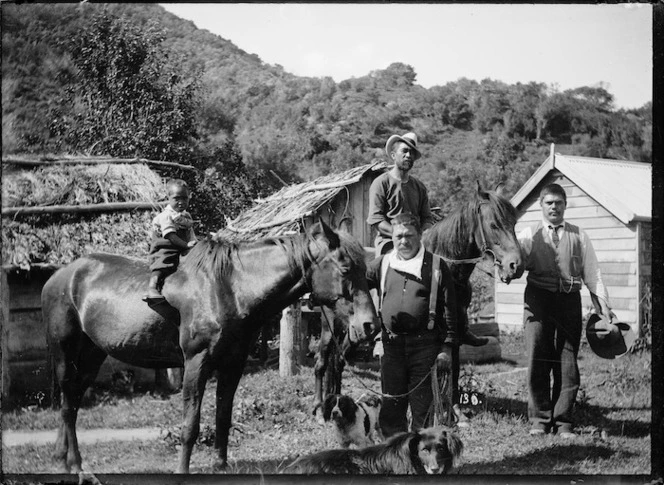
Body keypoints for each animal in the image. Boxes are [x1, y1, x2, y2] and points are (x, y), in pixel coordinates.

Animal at [44, 221, 378, 470]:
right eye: (345, 269)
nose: (369, 325)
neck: (229, 289)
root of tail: (61, 276)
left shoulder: (232, 365)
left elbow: (223, 417)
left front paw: (219, 465)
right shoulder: (196, 364)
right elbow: (190, 425)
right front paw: (182, 470)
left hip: (93, 356)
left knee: (73, 400)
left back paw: (61, 454)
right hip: (65, 355)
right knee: (67, 402)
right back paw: (74, 463)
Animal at [312, 183, 524, 414]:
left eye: (514, 223)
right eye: (494, 225)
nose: (515, 266)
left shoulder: (454, 334)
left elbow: (453, 368)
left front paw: (454, 409)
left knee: (338, 361)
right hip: (329, 327)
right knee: (323, 361)